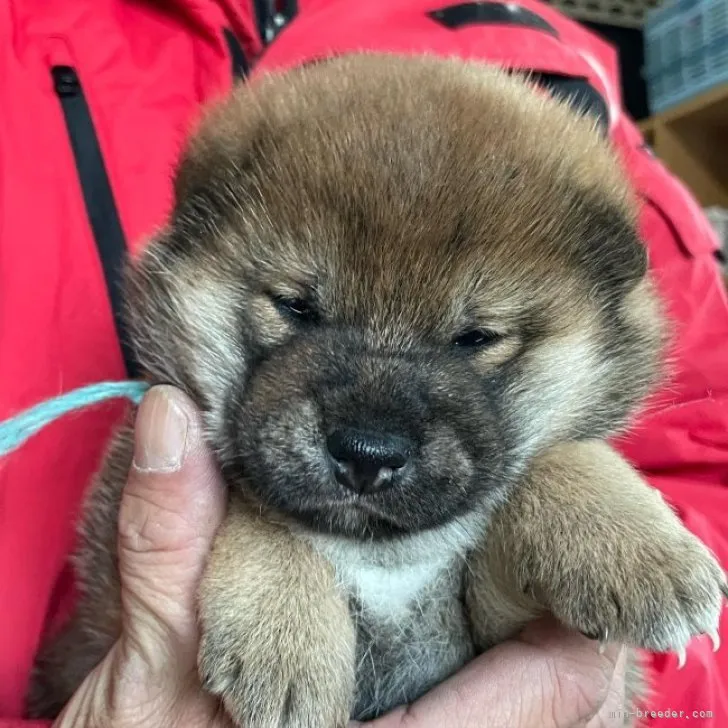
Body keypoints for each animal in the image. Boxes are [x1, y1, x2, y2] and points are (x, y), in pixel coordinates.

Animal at [27, 54, 724, 724]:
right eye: (296, 307)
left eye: (475, 337)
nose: (367, 454)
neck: (383, 556)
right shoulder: (111, 589)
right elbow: (256, 502)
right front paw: (286, 636)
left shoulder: (494, 625)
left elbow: (556, 460)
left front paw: (633, 548)